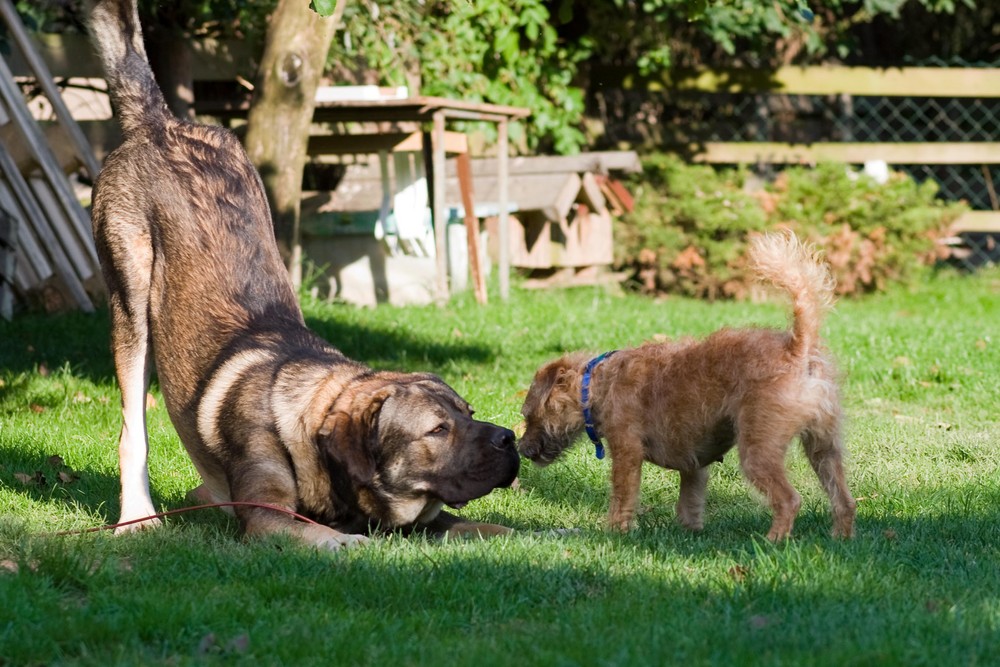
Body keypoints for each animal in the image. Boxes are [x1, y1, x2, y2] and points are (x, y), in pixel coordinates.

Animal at [87, 0, 520, 548]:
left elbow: (486, 525)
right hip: (132, 312)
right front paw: (355, 542)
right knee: (132, 431)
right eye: (437, 430)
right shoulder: (264, 515)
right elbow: (328, 536)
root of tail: (159, 121)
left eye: (469, 414)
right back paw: (137, 515)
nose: (510, 438)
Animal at [520, 232, 856, 540]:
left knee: (789, 499)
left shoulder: (627, 452)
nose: (521, 449)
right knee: (844, 500)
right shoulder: (694, 466)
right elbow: (689, 503)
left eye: (528, 415)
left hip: (758, 450)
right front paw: (690, 533)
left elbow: (622, 496)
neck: (598, 383)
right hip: (823, 447)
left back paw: (773, 540)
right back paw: (841, 539)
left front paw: (616, 531)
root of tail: (797, 348)